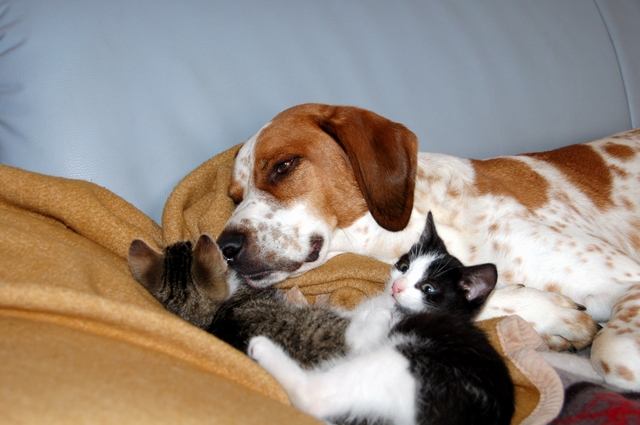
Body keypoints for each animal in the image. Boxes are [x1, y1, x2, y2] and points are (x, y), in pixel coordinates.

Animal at [218, 102, 640, 388]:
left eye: (284, 166)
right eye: (235, 197)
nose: (225, 247)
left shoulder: (628, 278)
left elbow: (612, 351)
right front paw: (548, 315)